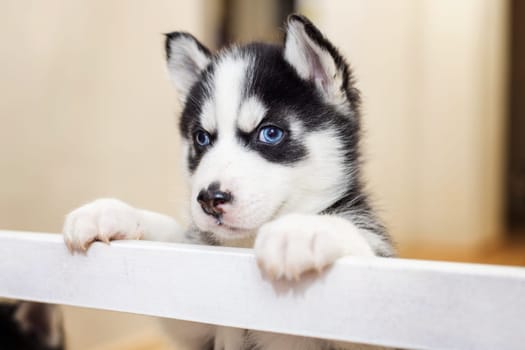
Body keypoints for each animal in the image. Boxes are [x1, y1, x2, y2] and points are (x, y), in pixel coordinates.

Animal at [62, 14, 392, 350]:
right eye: (202, 138)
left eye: (270, 133)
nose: (210, 199)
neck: (241, 248)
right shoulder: (199, 317)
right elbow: (172, 240)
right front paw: (112, 213)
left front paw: (303, 230)